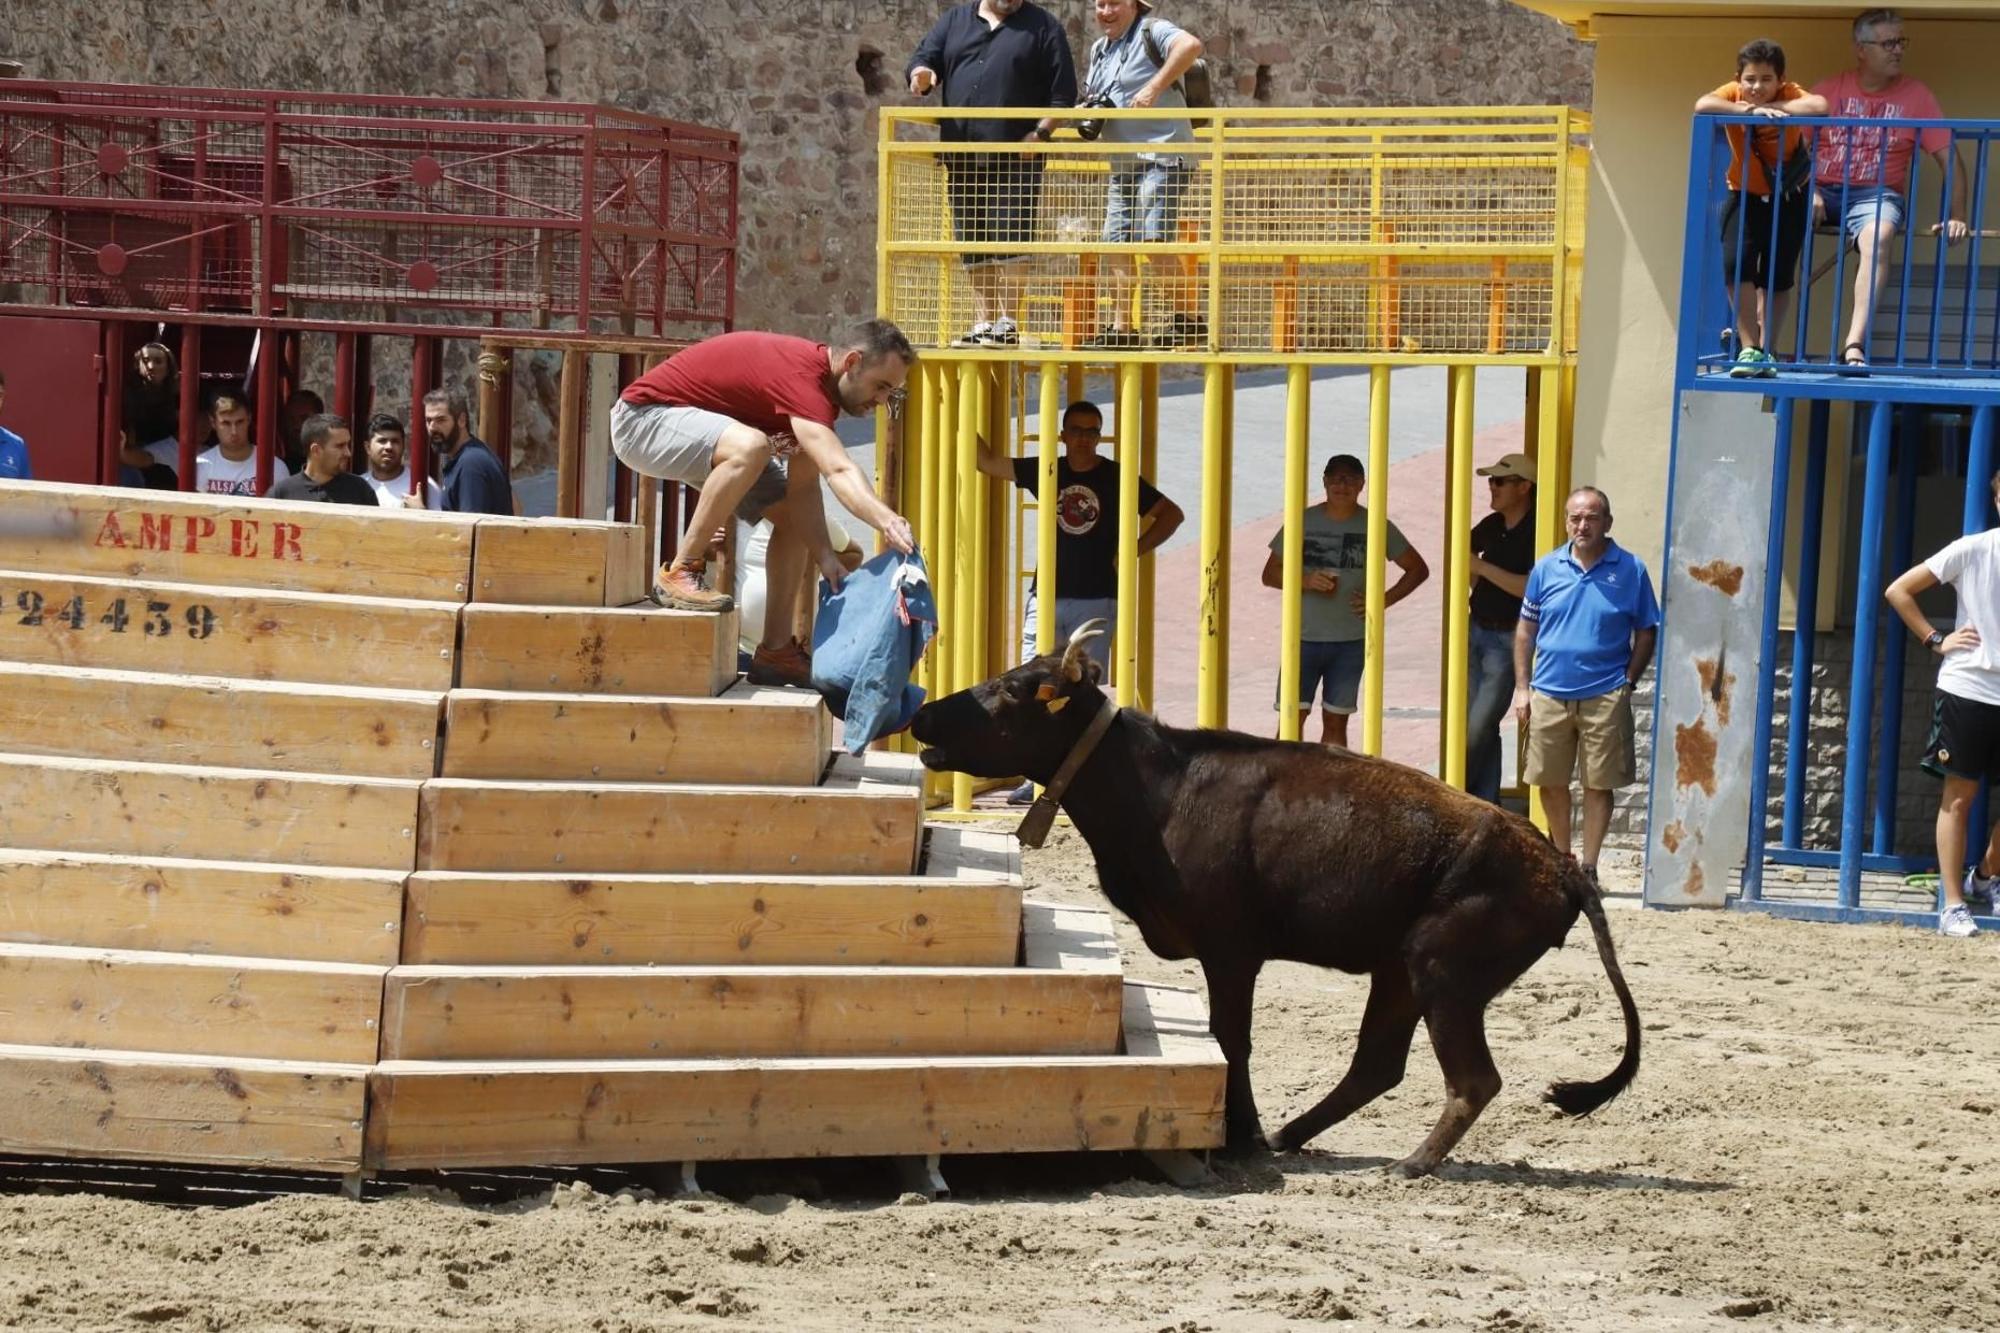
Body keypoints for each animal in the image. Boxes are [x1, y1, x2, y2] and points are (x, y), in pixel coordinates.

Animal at [912, 628, 1640, 1168]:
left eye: (1012, 688)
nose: (921, 713)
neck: (1163, 789)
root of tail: (1560, 864)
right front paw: (1251, 1133)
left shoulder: (1231, 952)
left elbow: (1231, 1038)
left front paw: (1238, 1135)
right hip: (1399, 971)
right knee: (1377, 1064)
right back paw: (1292, 1135)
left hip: (1444, 971)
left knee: (1472, 1079)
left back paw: (1409, 1161)